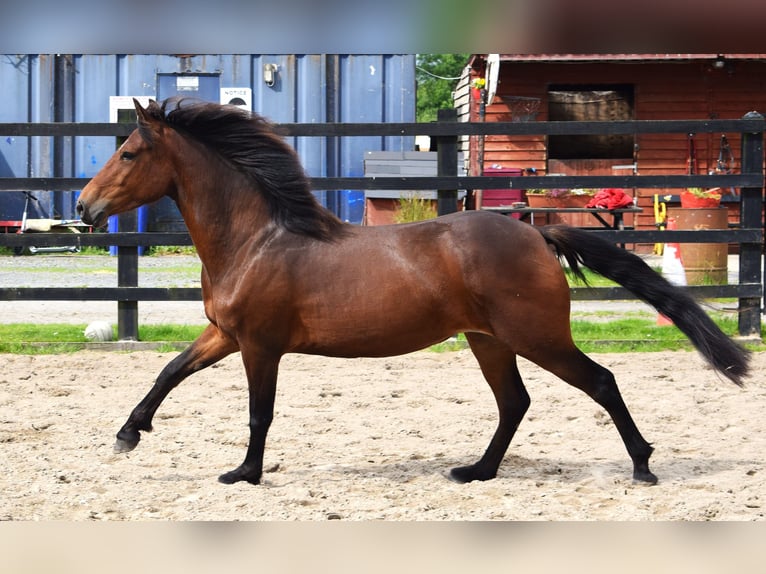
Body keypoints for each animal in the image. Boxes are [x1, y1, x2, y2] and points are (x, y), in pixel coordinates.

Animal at [76, 101, 752, 488]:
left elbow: (258, 411)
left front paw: (243, 474)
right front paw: (128, 435)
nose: (83, 208)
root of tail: (537, 232)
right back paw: (476, 473)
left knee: (601, 382)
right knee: (515, 403)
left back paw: (642, 466)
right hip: (488, 341)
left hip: (535, 337)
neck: (258, 239)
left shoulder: (260, 346)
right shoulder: (225, 334)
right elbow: (169, 370)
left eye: (128, 152)